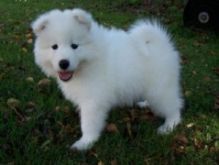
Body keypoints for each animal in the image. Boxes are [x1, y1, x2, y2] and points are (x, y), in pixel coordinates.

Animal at [32, 8, 183, 151]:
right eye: (54, 47)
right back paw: (145, 103)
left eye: (74, 46)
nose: (64, 63)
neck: (90, 60)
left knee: (174, 107)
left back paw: (168, 126)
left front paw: (85, 142)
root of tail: (162, 42)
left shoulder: (93, 100)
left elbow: (88, 123)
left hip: (160, 87)